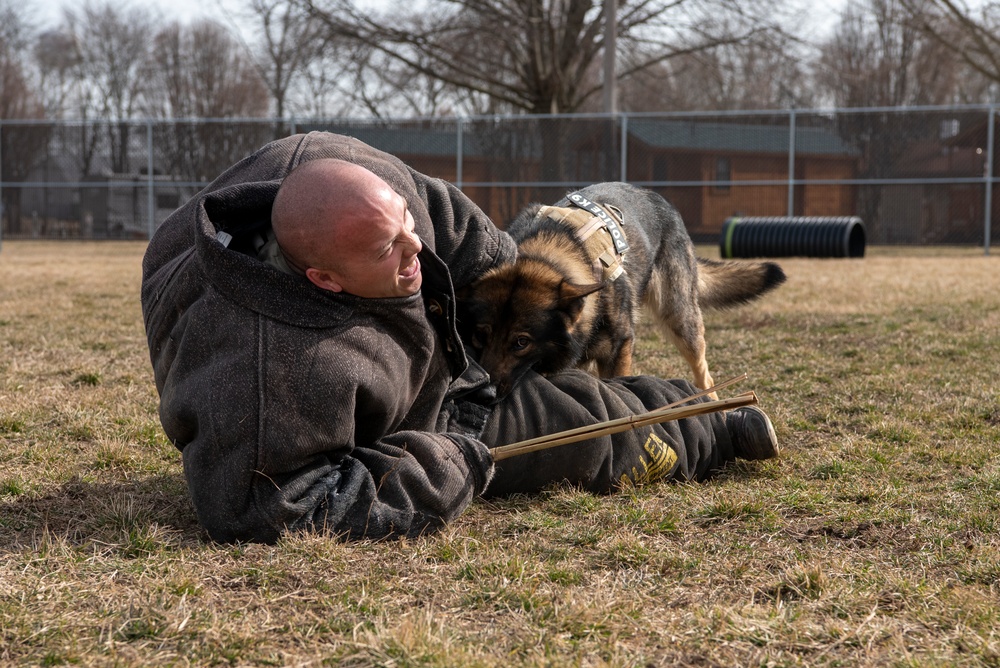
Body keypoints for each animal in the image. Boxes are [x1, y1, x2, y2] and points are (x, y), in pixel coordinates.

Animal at [458, 183, 780, 400]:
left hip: (680, 319)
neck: (550, 253)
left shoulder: (618, 351)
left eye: (521, 342)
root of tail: (654, 195)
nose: (482, 395)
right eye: (480, 335)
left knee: (704, 373)